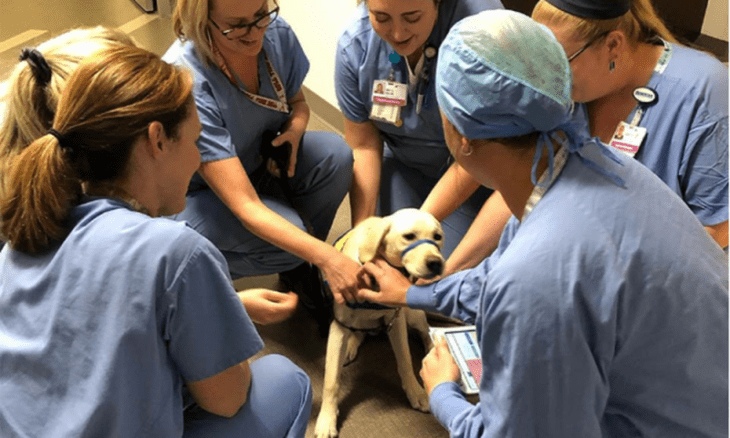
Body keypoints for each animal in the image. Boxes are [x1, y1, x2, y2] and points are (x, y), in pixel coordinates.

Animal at [312, 209, 444, 438]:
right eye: (409, 236)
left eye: (438, 237)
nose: (436, 263)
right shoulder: (338, 327)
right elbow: (331, 381)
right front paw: (327, 419)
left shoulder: (396, 321)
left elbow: (405, 361)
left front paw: (416, 392)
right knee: (359, 333)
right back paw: (351, 346)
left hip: (412, 313)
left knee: (425, 330)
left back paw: (431, 348)